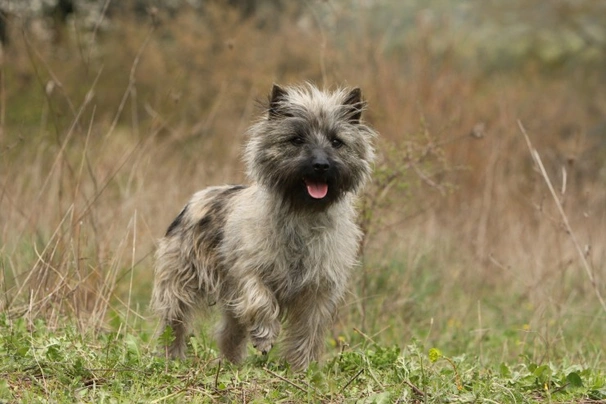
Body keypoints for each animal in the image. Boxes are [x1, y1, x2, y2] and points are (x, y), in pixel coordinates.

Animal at [150, 83, 378, 370]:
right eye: (296, 139)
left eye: (336, 141)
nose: (321, 165)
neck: (302, 214)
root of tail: (194, 200)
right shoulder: (249, 272)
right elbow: (261, 301)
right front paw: (265, 336)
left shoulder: (317, 292)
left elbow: (307, 332)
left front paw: (301, 367)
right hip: (179, 285)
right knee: (174, 323)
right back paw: (172, 357)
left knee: (229, 332)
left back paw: (231, 363)